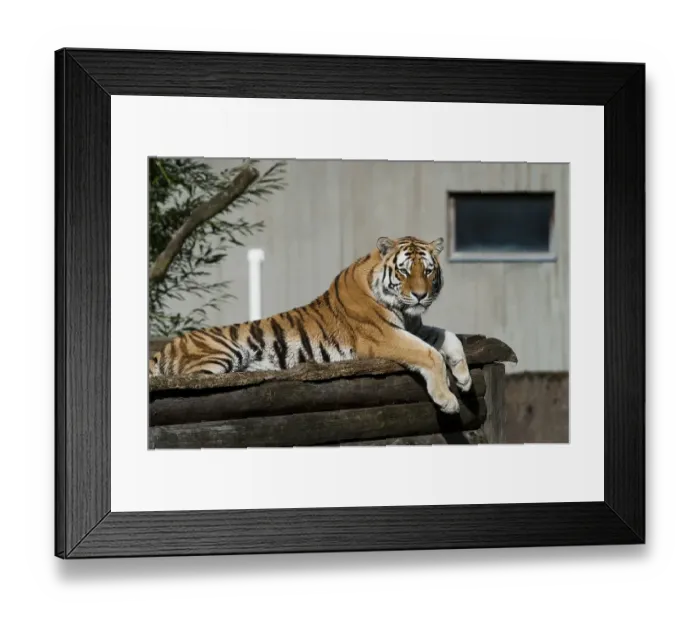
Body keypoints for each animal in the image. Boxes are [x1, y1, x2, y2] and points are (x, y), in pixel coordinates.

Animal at [149, 235, 472, 414]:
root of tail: (165, 347)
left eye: (428, 271)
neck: (405, 311)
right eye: (404, 272)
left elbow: (449, 337)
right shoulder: (385, 336)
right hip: (219, 355)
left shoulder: (412, 327)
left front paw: (464, 377)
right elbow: (430, 354)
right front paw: (447, 399)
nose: (420, 295)